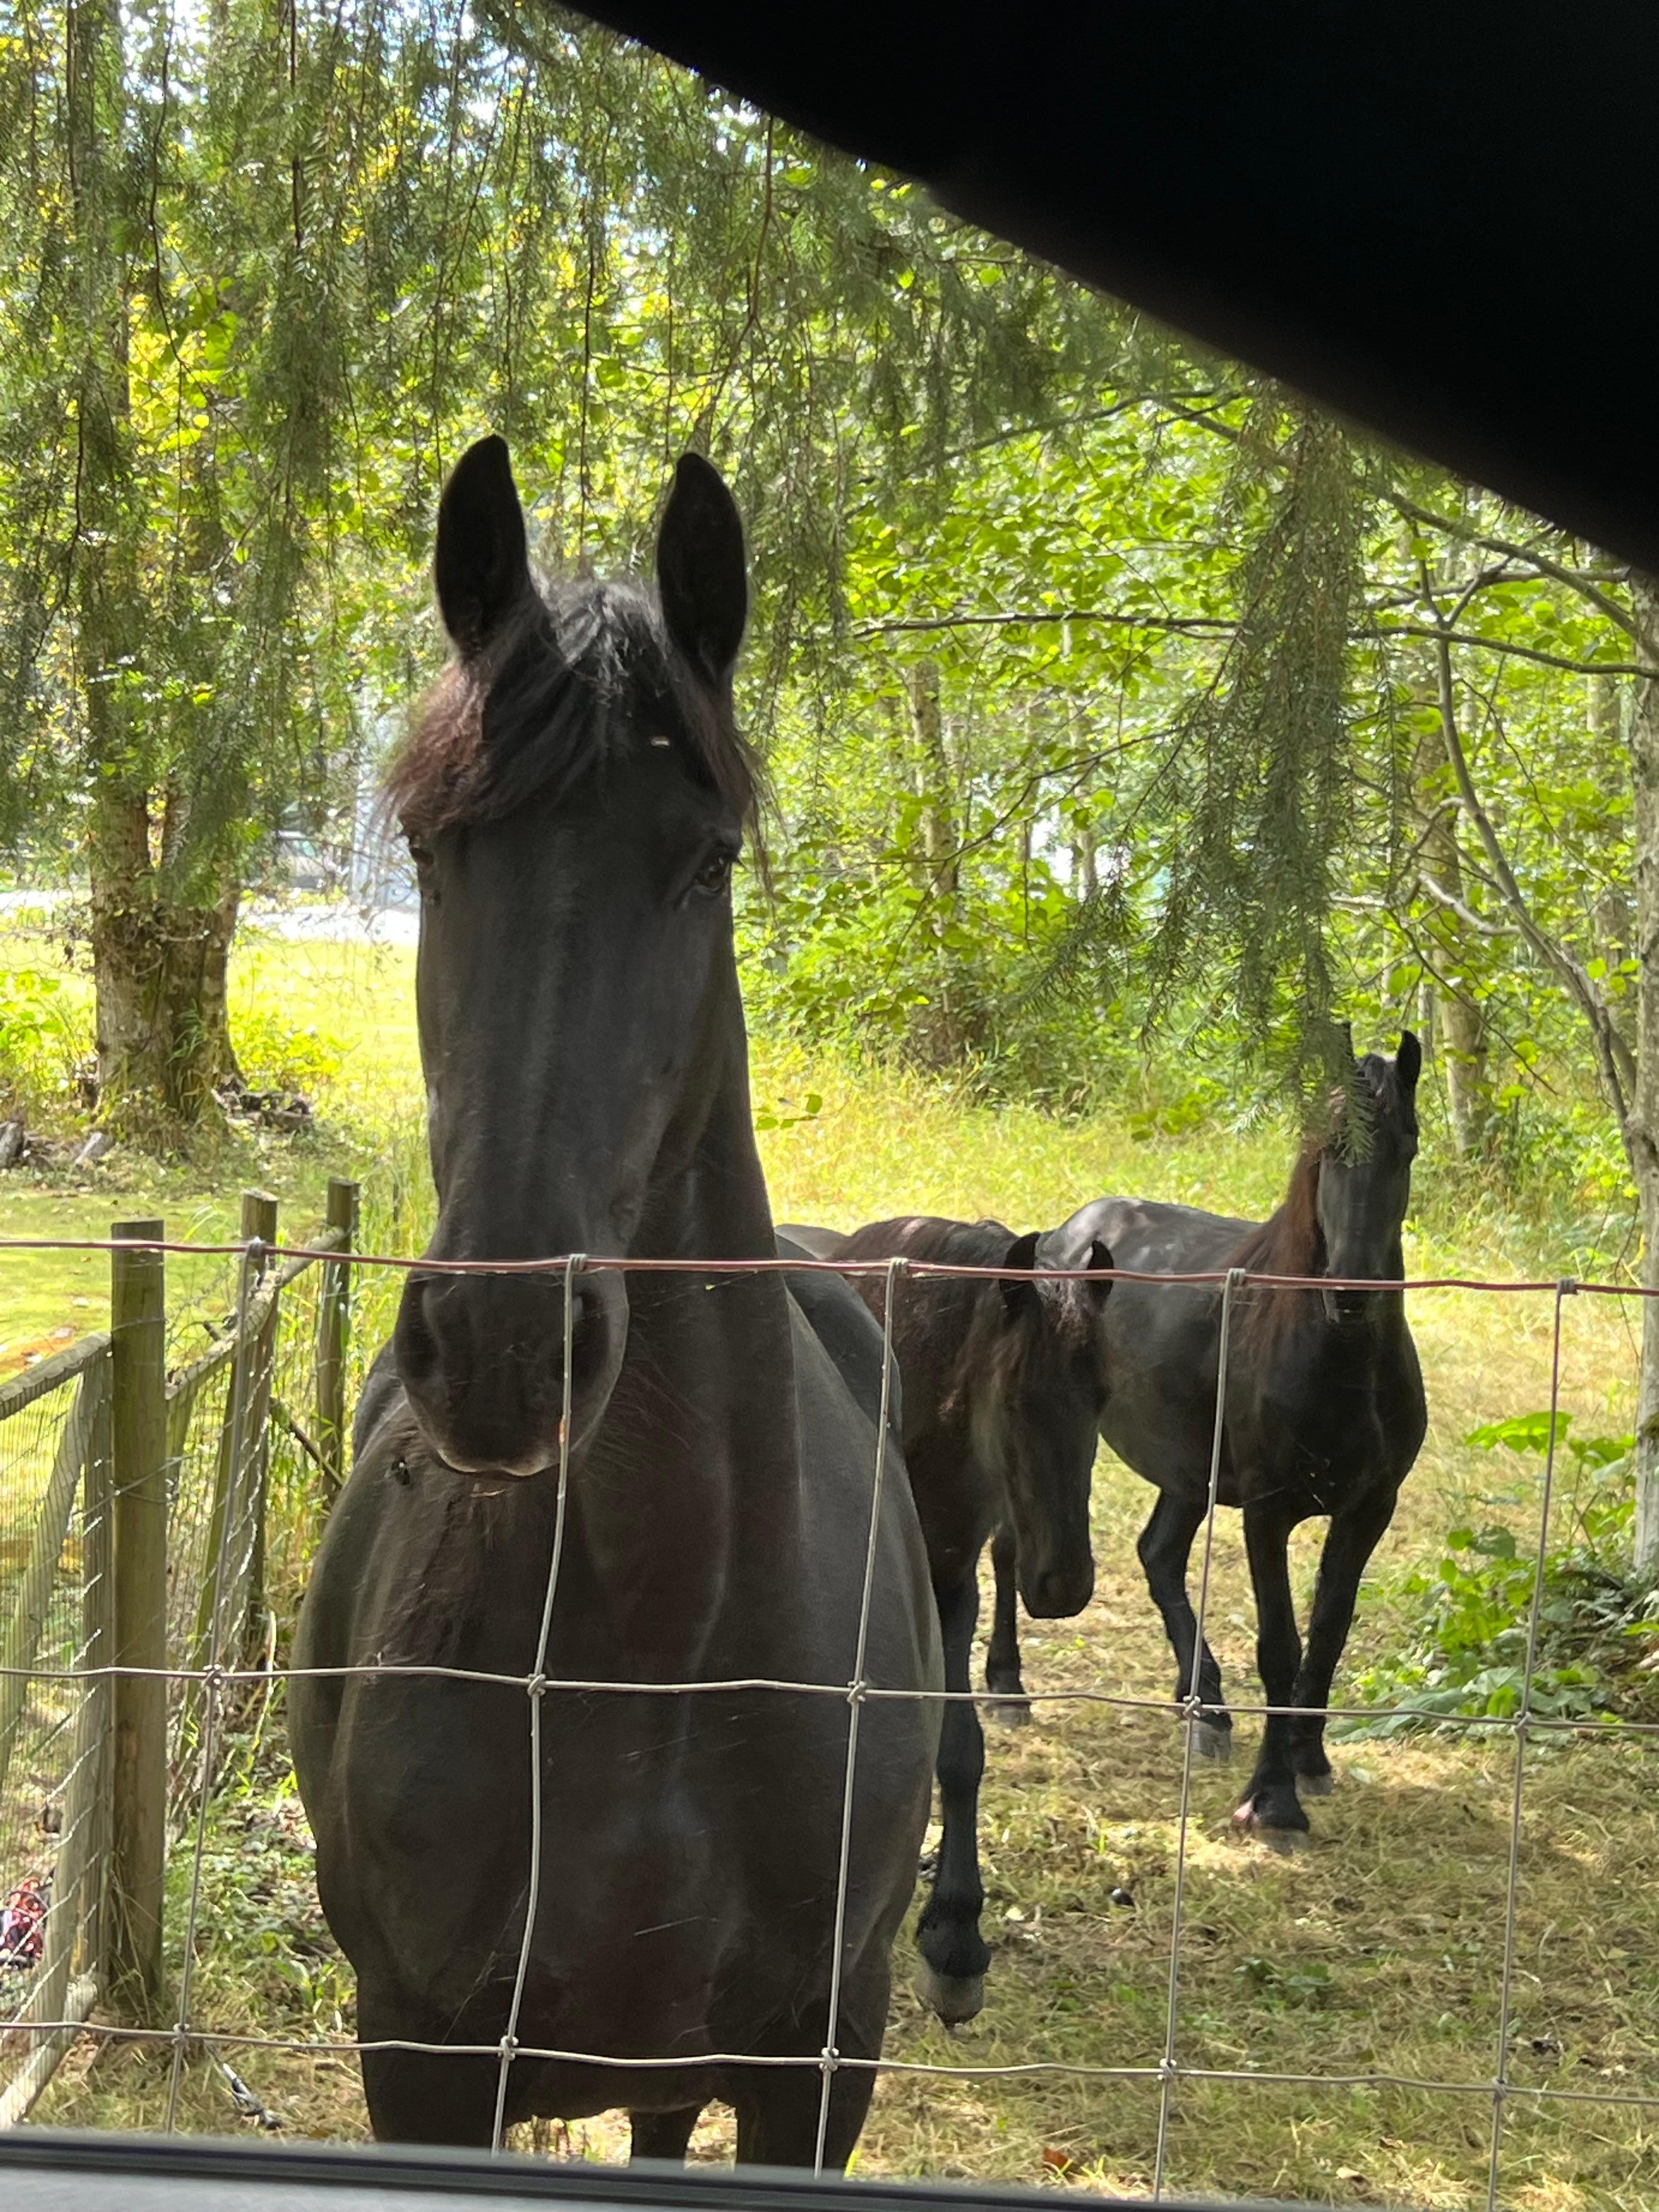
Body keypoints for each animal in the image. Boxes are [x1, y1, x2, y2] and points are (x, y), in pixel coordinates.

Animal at [291, 436, 942, 2168]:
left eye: (705, 862)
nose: (503, 1349)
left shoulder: (819, 2066)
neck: (654, 1656)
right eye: (432, 849)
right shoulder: (424, 2059)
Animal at [779, 1216, 1112, 2022]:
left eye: (1103, 1398)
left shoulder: (953, 1586)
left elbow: (960, 1753)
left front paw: (955, 1934)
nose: (1064, 1583)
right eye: (1018, 1399)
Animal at [1018, 1034, 1426, 1840]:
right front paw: (1272, 1800)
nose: (1351, 1294)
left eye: (1408, 1145)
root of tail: (1061, 1235)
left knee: (1159, 1557)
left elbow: (1329, 1633)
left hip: (1185, 1474)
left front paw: (1309, 1758)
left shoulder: (1369, 1510)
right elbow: (1279, 1645)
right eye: (1326, 1149)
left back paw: (1204, 1706)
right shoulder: (1268, 1513)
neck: (1340, 1361)